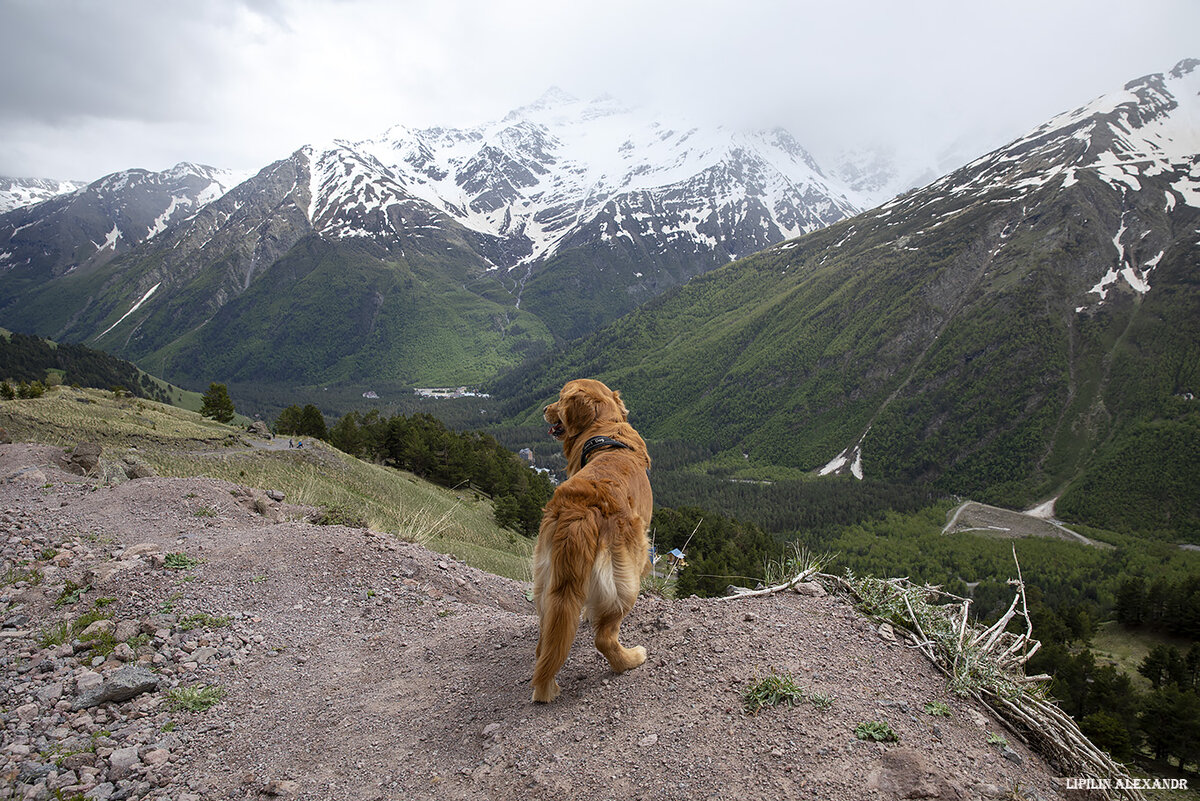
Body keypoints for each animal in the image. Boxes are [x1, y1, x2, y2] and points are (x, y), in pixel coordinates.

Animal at [530, 378, 652, 695]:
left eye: (560, 398)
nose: (544, 409)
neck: (604, 427)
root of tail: (582, 511)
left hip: (548, 580)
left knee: (547, 640)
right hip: (625, 580)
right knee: (605, 637)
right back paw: (630, 659)